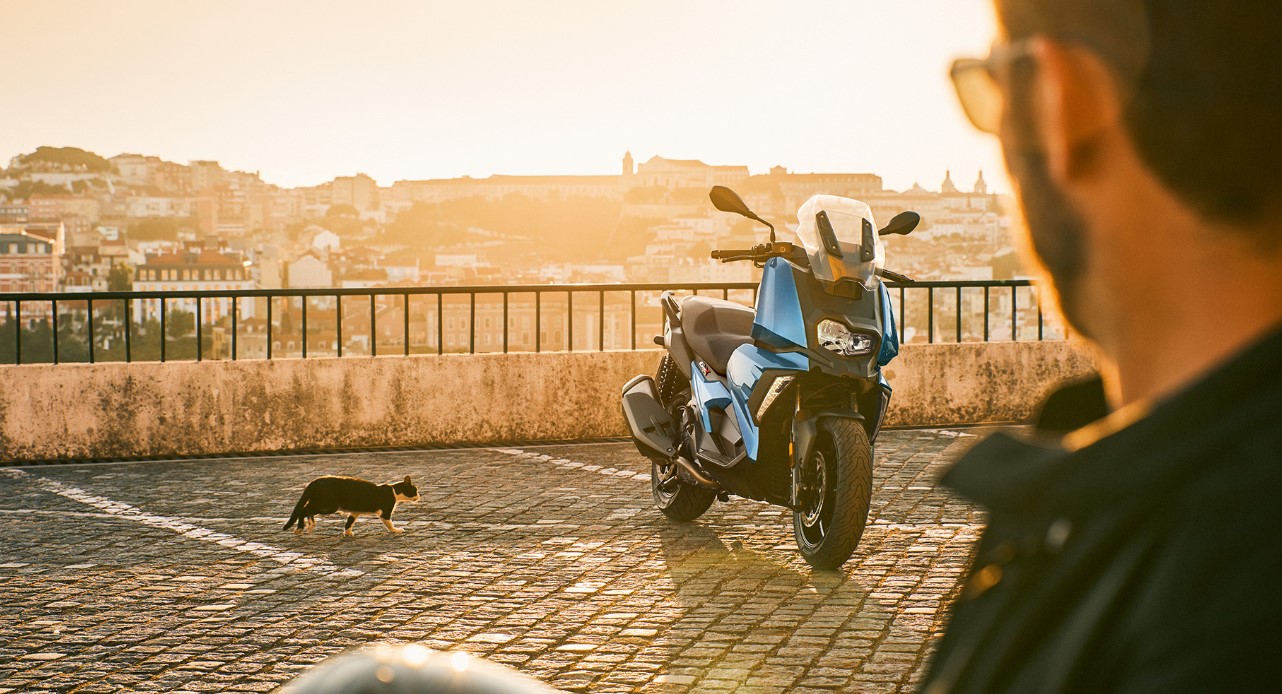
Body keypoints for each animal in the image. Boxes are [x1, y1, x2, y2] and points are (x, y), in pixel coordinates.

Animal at [283, 477, 417, 536]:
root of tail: (315, 481)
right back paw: (300, 528)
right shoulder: (385, 512)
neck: (394, 491)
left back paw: (310, 525)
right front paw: (396, 530)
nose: (419, 496)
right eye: (415, 490)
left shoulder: (355, 511)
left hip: (322, 503)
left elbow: (349, 522)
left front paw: (347, 533)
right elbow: (389, 523)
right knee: (304, 510)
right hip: (327, 505)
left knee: (307, 510)